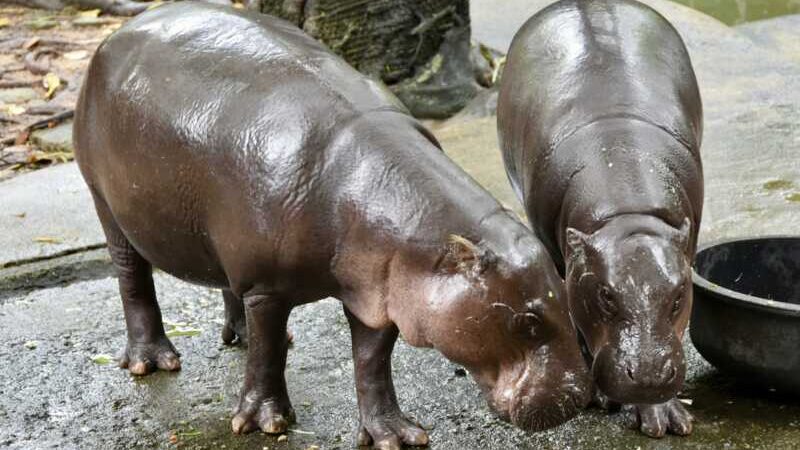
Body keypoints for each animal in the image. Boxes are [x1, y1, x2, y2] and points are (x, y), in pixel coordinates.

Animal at [73, 3, 590, 447]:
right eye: (527, 321)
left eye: (565, 294)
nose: (581, 398)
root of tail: (115, 35)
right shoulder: (268, 287)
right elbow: (268, 356)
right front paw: (264, 422)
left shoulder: (378, 290)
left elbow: (371, 363)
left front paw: (395, 435)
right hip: (105, 202)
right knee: (133, 279)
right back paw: (152, 362)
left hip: (217, 241)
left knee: (227, 288)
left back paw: (240, 337)